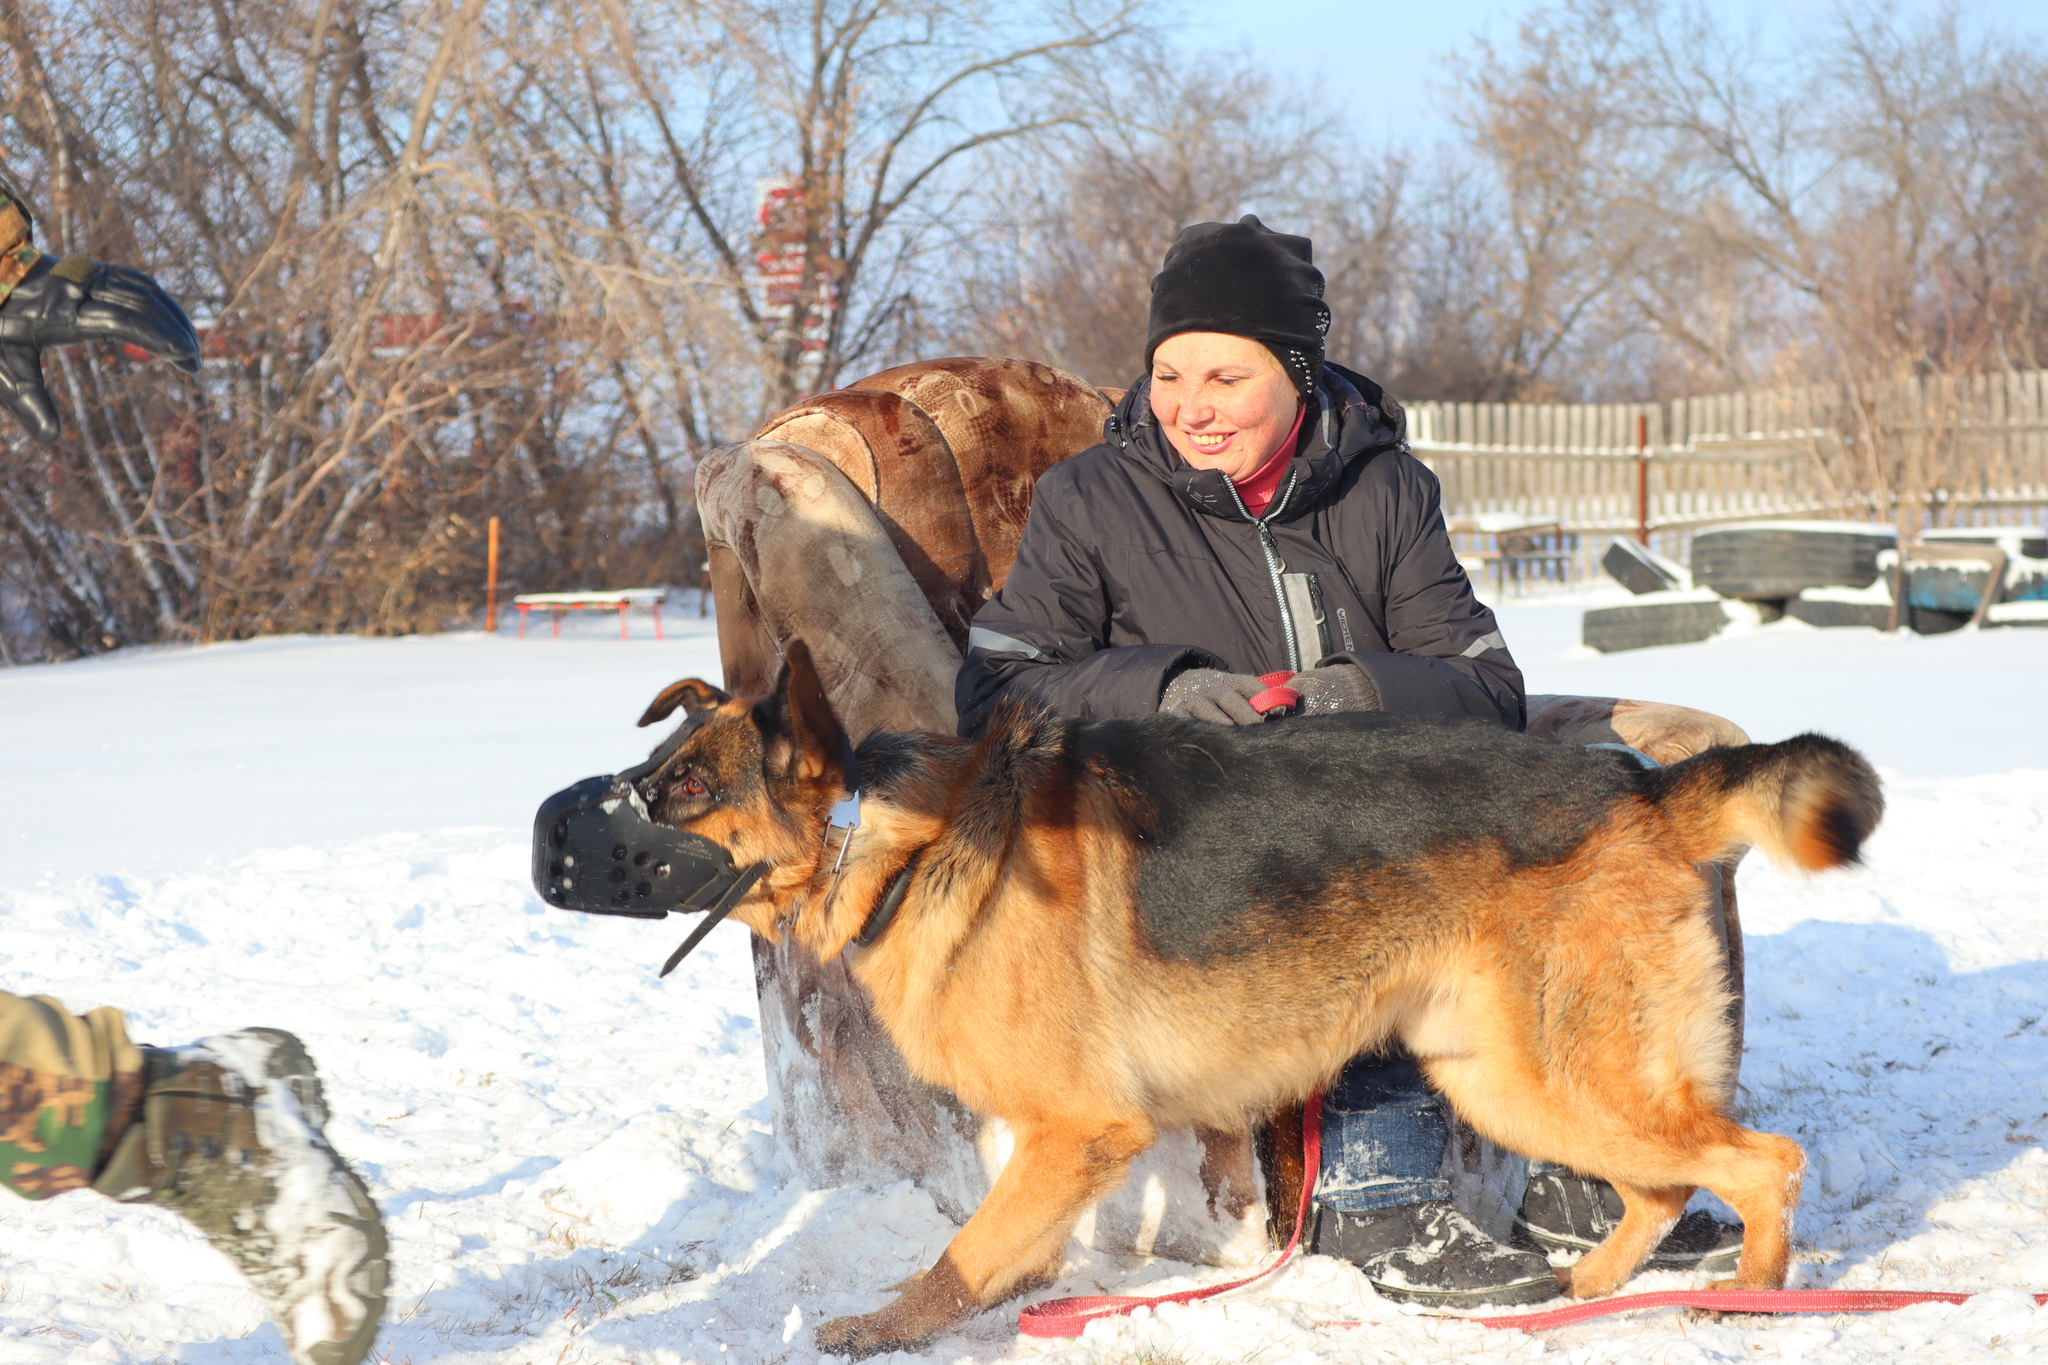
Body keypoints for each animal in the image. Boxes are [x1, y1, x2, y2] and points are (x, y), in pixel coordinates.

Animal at [630, 642, 1875, 1358]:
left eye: (683, 789)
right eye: (653, 774)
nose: (595, 821)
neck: (895, 839)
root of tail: (1644, 788)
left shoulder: (1080, 1130)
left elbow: (969, 1251)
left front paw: (885, 1327)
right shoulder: (1053, 1144)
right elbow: (1006, 1245)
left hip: (1557, 1077)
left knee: (1762, 1162)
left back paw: (1752, 1303)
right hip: (1508, 1080)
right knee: (1663, 1186)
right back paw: (1582, 1291)